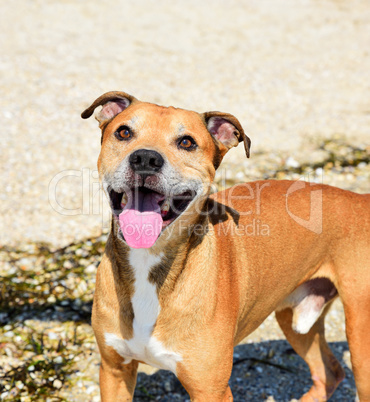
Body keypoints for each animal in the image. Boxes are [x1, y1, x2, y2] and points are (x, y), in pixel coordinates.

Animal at [81, 92, 370, 402]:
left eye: (187, 142)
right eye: (124, 132)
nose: (145, 158)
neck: (151, 263)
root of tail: (360, 199)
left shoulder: (211, 390)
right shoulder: (115, 370)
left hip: (360, 342)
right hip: (294, 316)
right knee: (329, 372)